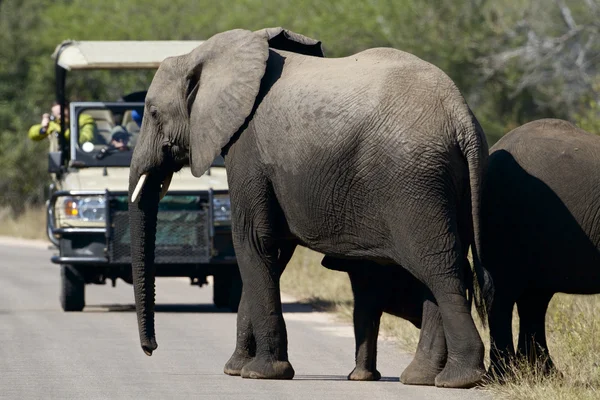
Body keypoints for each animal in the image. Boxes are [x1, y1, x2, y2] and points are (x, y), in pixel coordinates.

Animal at [480, 119, 600, 378]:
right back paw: (503, 376)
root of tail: (495, 149)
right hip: (506, 222)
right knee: (503, 296)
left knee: (533, 300)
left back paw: (544, 374)